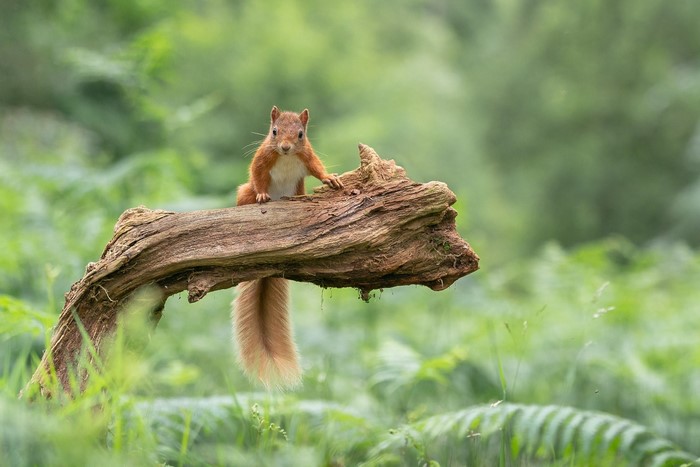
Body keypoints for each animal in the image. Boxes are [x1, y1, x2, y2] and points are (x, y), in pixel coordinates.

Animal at [233, 105, 343, 389]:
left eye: (301, 134)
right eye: (274, 131)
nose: (284, 147)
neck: (286, 157)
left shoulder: (308, 156)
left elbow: (318, 169)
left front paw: (331, 179)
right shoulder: (262, 158)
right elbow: (257, 174)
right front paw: (262, 195)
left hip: (298, 189)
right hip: (243, 192)